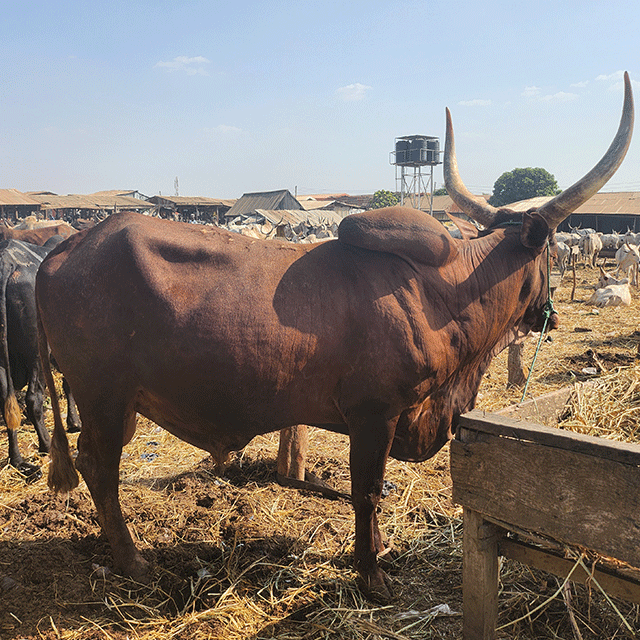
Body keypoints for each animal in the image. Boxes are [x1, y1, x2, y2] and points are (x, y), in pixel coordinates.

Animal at [37, 73, 634, 602]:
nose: (549, 317)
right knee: (99, 468)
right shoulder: (374, 415)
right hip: (102, 395)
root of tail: (66, 248)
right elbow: (366, 492)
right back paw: (131, 559)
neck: (445, 293)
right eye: (550, 252)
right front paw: (371, 574)